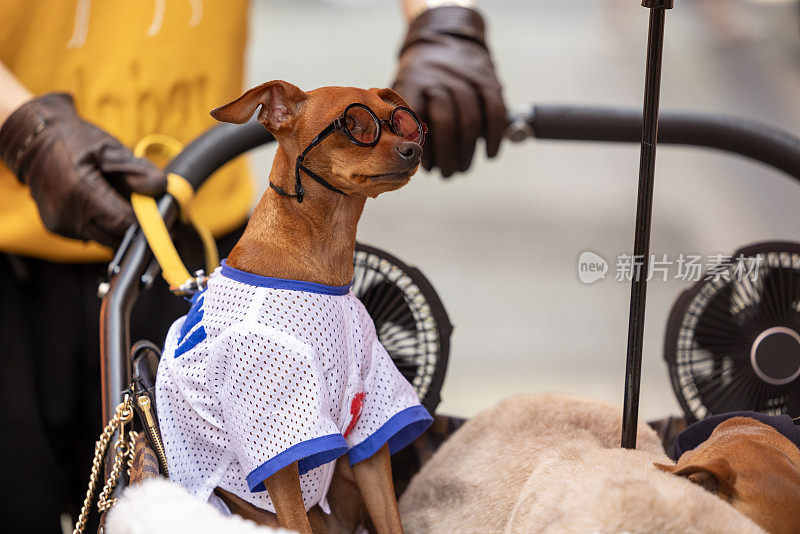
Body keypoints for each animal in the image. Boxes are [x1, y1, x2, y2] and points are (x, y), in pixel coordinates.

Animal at [156, 81, 432, 532]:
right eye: (355, 125)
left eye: (403, 123)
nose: (413, 148)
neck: (322, 266)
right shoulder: (280, 450)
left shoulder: (370, 436)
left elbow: (391, 520)